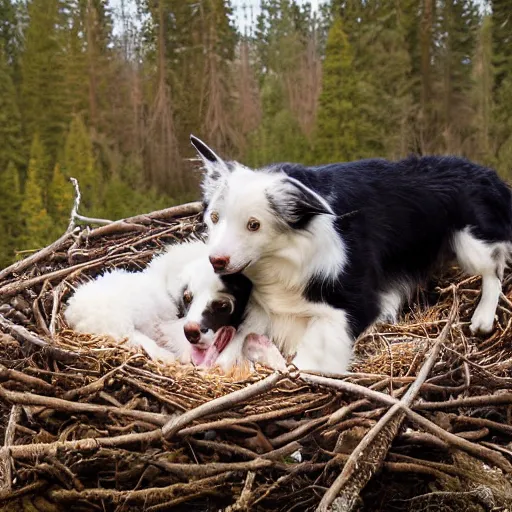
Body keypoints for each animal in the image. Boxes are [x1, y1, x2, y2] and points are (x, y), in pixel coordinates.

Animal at [190, 135, 512, 372]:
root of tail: (487, 173)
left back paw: (483, 318)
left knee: (494, 270)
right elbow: (237, 339)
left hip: (471, 242)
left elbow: (311, 360)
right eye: (215, 217)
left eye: (254, 225)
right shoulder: (263, 307)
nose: (216, 261)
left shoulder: (355, 306)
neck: (285, 254)